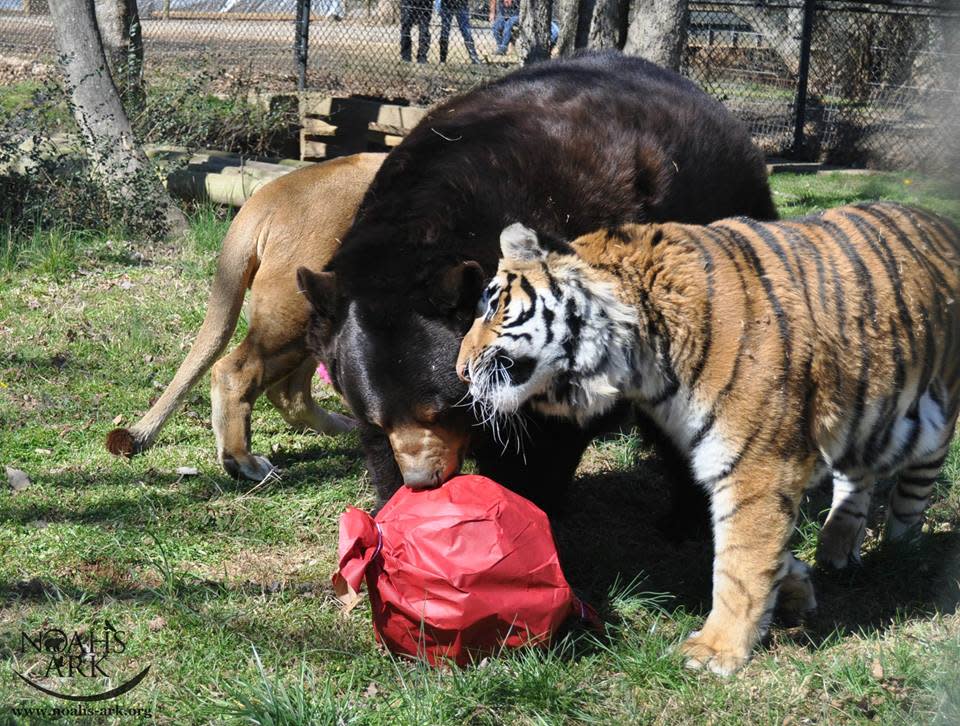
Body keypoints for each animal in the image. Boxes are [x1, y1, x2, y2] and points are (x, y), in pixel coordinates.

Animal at [106, 153, 386, 480]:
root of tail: (267, 195)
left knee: (288, 392)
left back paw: (345, 428)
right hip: (299, 307)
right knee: (240, 371)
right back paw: (242, 461)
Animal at [456, 203, 960, 676]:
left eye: (494, 306)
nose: (459, 371)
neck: (641, 354)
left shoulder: (757, 466)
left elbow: (739, 563)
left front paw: (716, 649)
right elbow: (765, 554)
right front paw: (796, 583)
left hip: (926, 421)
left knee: (912, 493)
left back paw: (902, 556)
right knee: (857, 478)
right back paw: (837, 547)